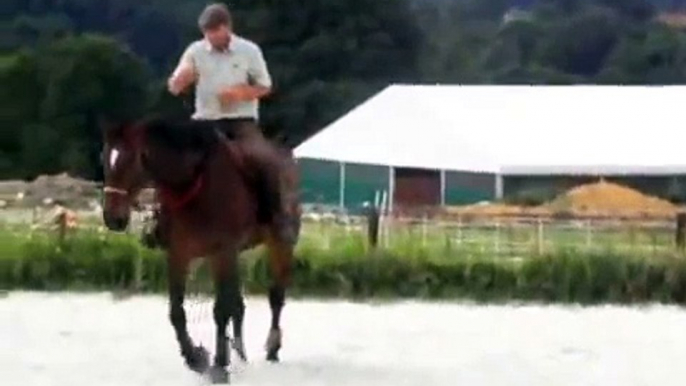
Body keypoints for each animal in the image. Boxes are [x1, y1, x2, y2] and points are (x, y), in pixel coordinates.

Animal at [99, 115, 300, 382]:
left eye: (133, 159)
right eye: (104, 158)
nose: (113, 218)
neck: (193, 185)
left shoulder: (223, 251)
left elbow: (221, 309)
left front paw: (218, 365)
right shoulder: (179, 254)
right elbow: (177, 311)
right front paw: (196, 358)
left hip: (279, 245)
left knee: (276, 296)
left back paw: (272, 348)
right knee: (239, 303)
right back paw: (240, 353)